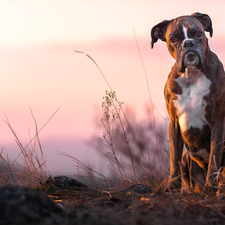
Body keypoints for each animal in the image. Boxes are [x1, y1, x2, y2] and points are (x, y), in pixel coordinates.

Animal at [150, 13, 225, 194]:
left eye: (198, 34)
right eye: (173, 39)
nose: (188, 43)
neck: (191, 75)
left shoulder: (218, 123)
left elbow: (214, 156)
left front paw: (211, 186)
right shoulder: (174, 123)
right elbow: (174, 156)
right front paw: (172, 185)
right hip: (187, 158)